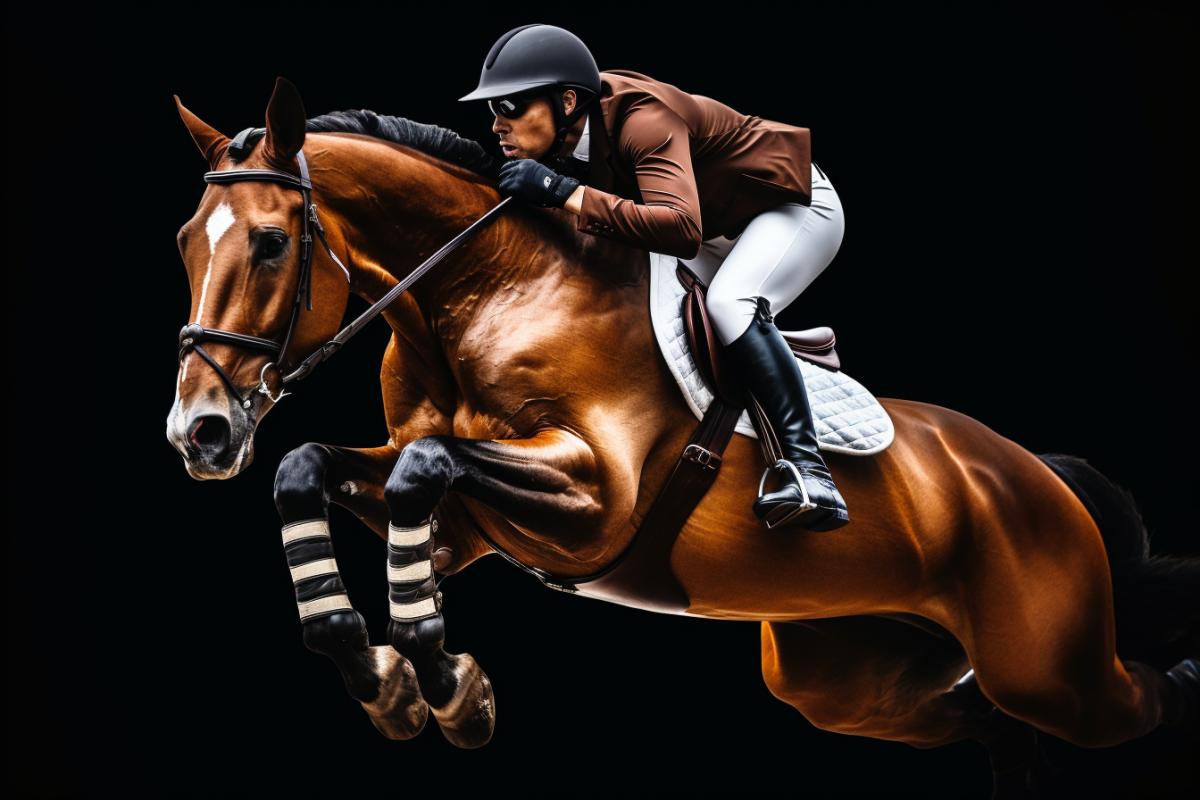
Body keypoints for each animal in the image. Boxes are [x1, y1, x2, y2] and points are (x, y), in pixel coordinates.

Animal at [166, 77, 1198, 795]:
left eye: (270, 242)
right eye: (184, 241)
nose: (200, 432)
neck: (479, 291)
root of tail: (1031, 474)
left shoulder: (594, 497)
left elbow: (427, 465)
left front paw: (449, 684)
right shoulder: (460, 528)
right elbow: (308, 469)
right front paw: (382, 673)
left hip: (1051, 665)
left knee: (1133, 695)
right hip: (845, 678)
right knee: (996, 725)